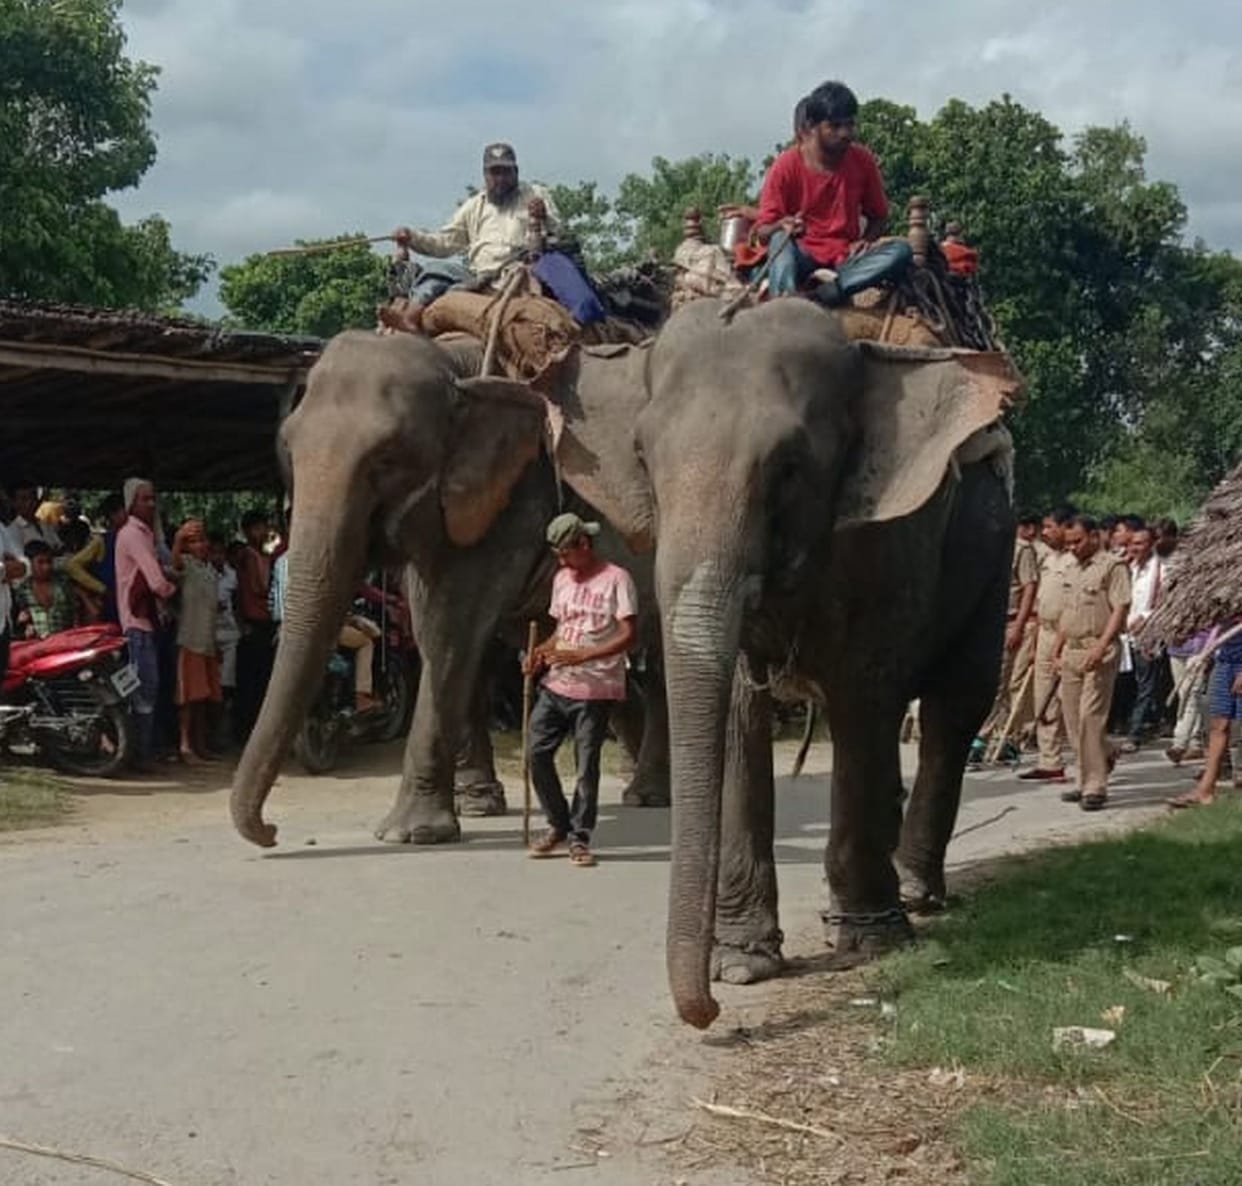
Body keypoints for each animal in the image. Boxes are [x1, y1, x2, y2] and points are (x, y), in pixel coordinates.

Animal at [230, 330, 669, 850]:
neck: (455, 367)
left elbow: (449, 629)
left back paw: (650, 794)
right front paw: (478, 806)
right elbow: (450, 638)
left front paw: (408, 834)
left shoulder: (512, 495)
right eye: (289, 450)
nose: (271, 832)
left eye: (387, 459)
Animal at [630, 298, 1019, 1028]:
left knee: (955, 707)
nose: (710, 1014)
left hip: (997, 556)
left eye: (788, 465)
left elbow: (865, 691)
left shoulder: (896, 536)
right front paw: (742, 964)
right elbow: (738, 709)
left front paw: (870, 943)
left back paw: (916, 894)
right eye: (641, 455)